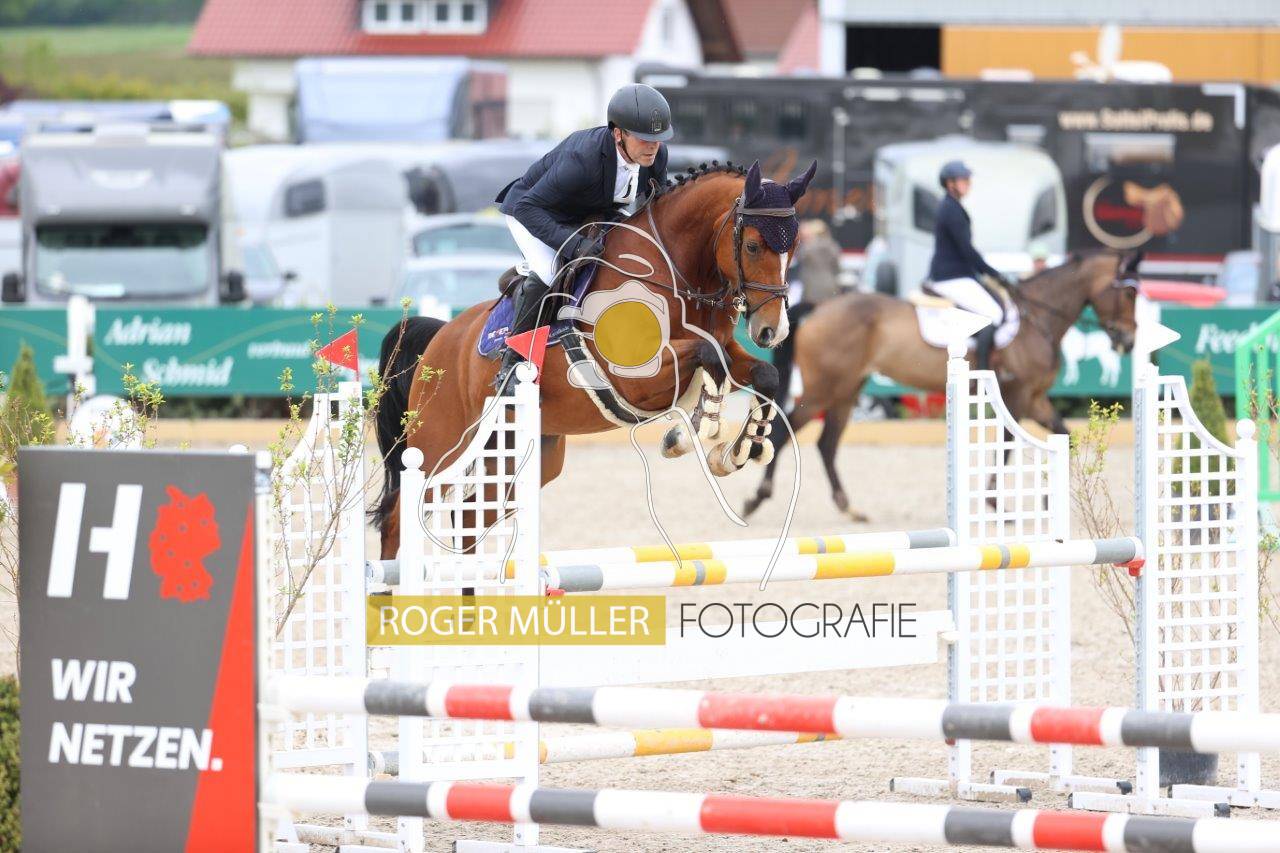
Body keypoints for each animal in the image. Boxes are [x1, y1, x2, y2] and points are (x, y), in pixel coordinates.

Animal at [374, 160, 819, 559]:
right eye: (753, 245)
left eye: (795, 246)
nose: (772, 331)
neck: (674, 272)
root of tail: (440, 337)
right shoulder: (636, 378)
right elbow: (706, 360)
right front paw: (686, 434)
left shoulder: (728, 352)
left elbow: (762, 373)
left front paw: (741, 450)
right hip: (440, 447)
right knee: (398, 518)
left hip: (526, 453)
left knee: (469, 519)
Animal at [743, 250, 1142, 521]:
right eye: (1129, 294)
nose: (1128, 341)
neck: (1037, 319)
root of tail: (823, 306)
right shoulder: (1019, 396)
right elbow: (1008, 444)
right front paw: (997, 504)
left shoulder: (1035, 398)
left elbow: (1062, 437)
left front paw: (1046, 500)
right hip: (824, 389)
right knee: (786, 432)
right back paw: (756, 499)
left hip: (847, 390)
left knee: (826, 444)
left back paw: (849, 507)